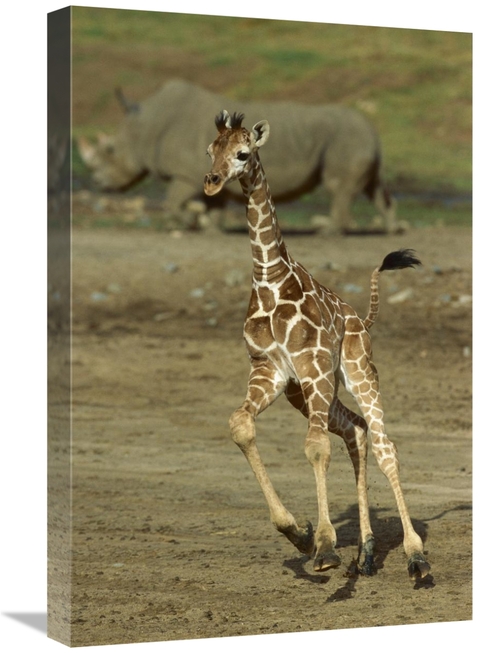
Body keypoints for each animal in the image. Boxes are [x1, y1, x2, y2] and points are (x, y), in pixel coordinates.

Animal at [204, 110, 430, 580]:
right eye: (209, 150)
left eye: (243, 153)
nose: (212, 181)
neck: (270, 279)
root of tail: (361, 318)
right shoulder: (270, 371)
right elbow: (241, 425)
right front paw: (299, 532)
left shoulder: (313, 368)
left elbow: (315, 447)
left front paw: (325, 545)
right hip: (307, 393)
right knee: (357, 430)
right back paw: (365, 553)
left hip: (356, 371)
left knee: (385, 446)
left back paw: (415, 556)